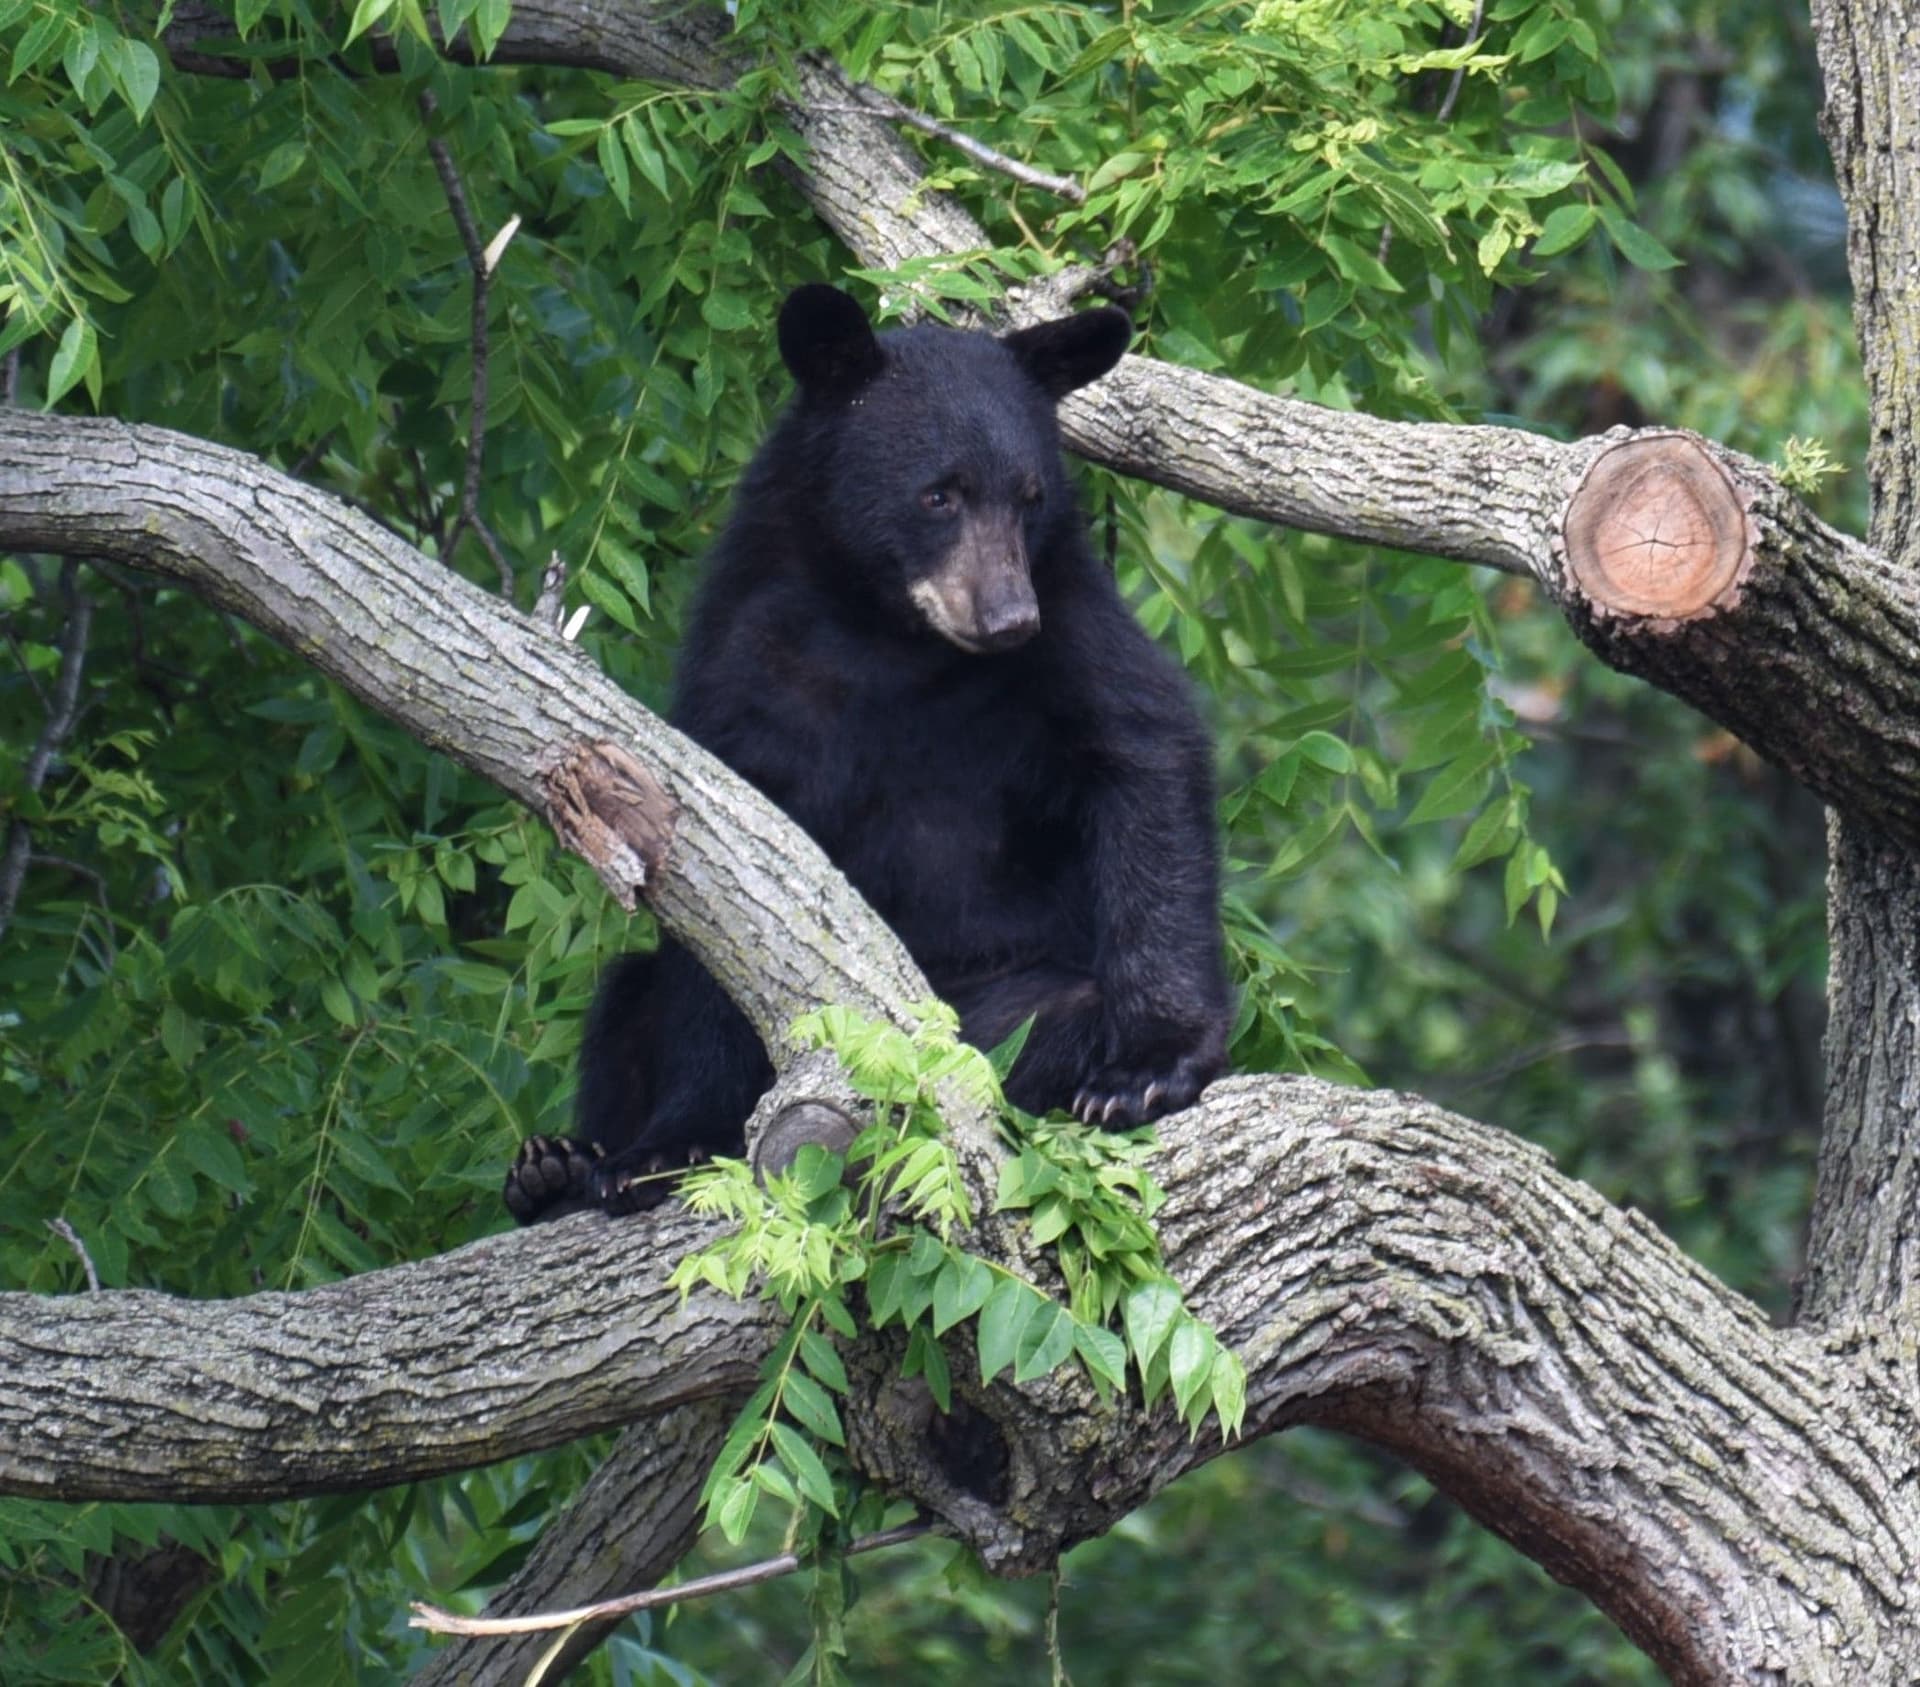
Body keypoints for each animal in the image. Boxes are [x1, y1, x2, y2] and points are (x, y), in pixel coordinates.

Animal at [505, 284, 1229, 1223]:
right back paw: (553, 1169)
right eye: (939, 495)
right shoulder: (747, 655)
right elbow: (722, 879)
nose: (1007, 618)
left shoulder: (1069, 615)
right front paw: (668, 1144)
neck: (887, 631)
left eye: (1029, 495)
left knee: (1047, 1016)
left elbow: (1142, 752)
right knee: (627, 995)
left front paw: (1147, 1068)